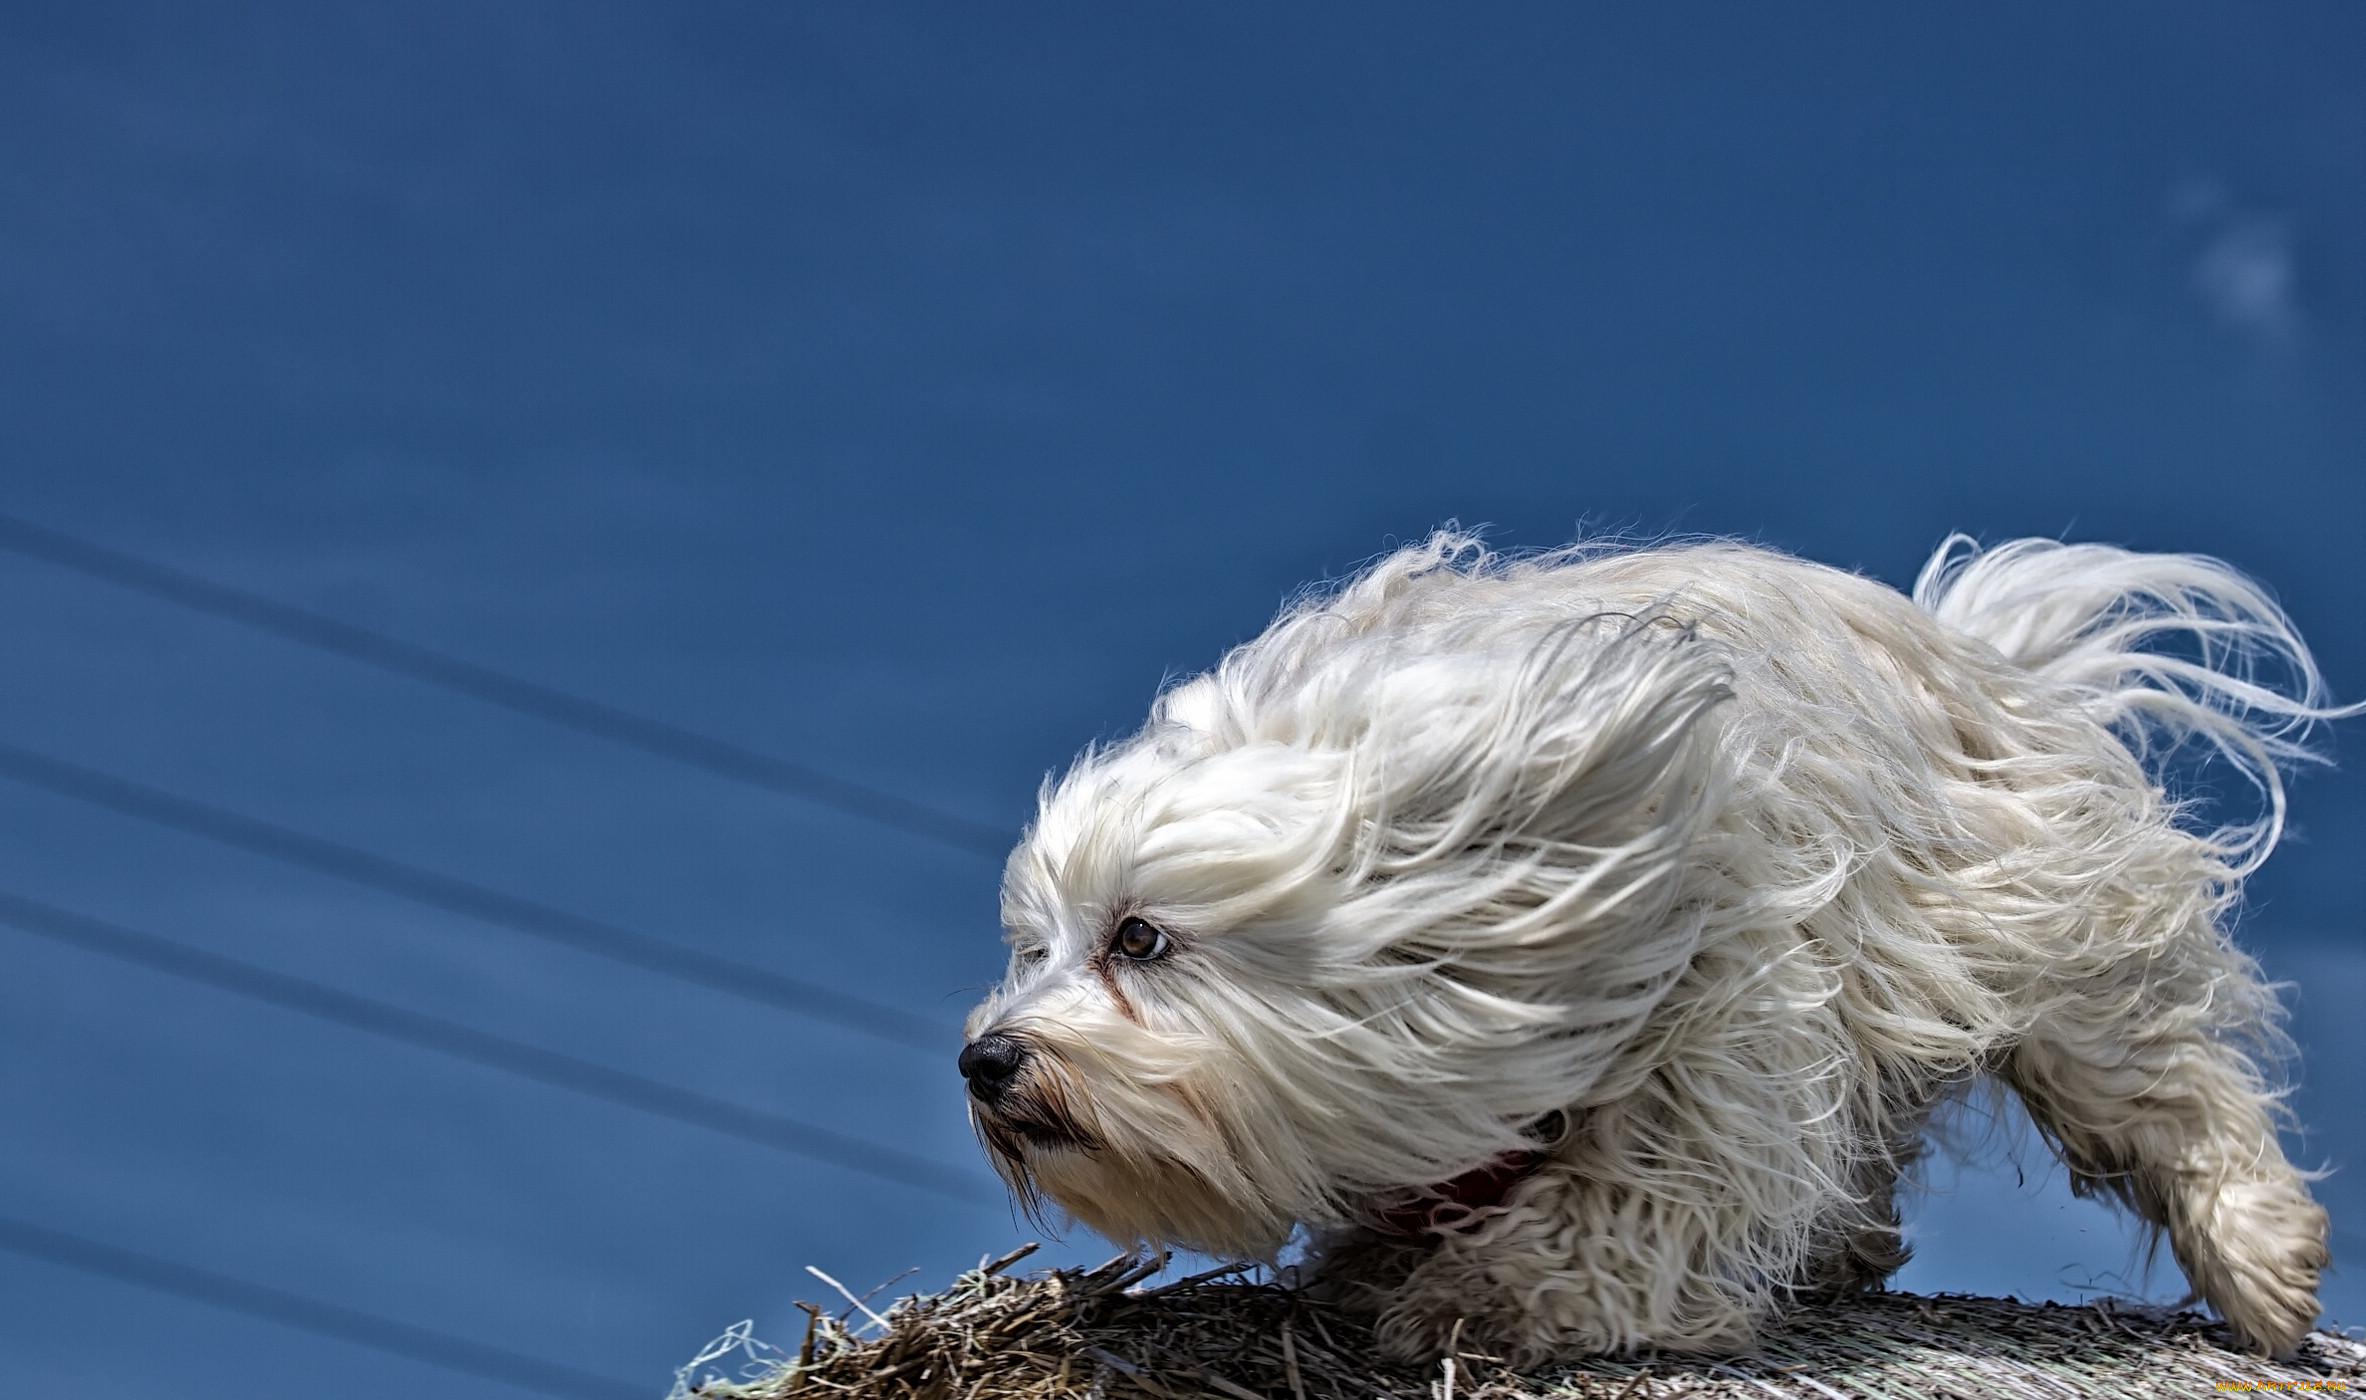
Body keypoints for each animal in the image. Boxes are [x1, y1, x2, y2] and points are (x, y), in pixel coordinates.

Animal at [955, 529, 2347, 1362]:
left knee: (2152, 1083)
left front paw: (1490, 1293)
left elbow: (1641, 1188)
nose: (985, 1059)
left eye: (1139, 936)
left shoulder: (1720, 1005)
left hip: (2027, 925)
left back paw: (2264, 1264)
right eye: (1032, 947)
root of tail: (1989, 656)